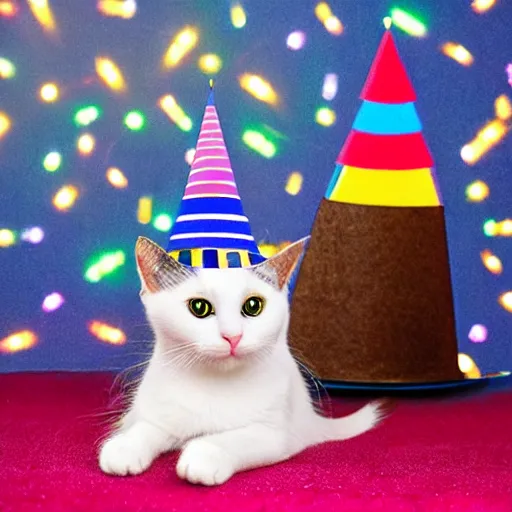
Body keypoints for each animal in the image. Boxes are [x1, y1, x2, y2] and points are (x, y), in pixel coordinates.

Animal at [99, 236, 388, 484]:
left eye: (253, 306)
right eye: (199, 307)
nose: (232, 336)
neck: (215, 385)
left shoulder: (277, 435)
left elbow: (236, 438)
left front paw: (204, 455)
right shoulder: (158, 412)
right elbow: (148, 426)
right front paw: (125, 446)